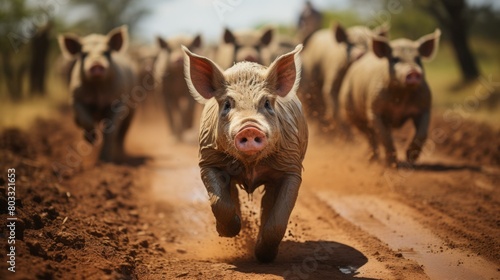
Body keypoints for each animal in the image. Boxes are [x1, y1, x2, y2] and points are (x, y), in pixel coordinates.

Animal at [58, 26, 137, 162]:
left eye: (106, 53)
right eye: (84, 54)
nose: (96, 64)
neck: (98, 89)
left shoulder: (118, 102)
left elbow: (110, 131)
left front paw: (105, 160)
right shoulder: (75, 99)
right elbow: (85, 119)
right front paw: (92, 140)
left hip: (132, 111)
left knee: (123, 132)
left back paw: (120, 155)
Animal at [184, 44, 308, 262]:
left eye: (266, 103)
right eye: (227, 104)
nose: (249, 128)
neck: (250, 165)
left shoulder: (291, 166)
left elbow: (279, 219)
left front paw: (264, 257)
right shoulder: (208, 159)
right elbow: (219, 202)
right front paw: (230, 229)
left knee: (267, 202)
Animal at [338, 28, 440, 166]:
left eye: (418, 59)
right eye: (395, 59)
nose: (413, 72)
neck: (402, 93)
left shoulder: (425, 107)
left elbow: (422, 133)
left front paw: (410, 159)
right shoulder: (374, 110)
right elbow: (385, 136)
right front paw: (391, 165)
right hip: (350, 109)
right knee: (369, 134)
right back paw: (373, 160)